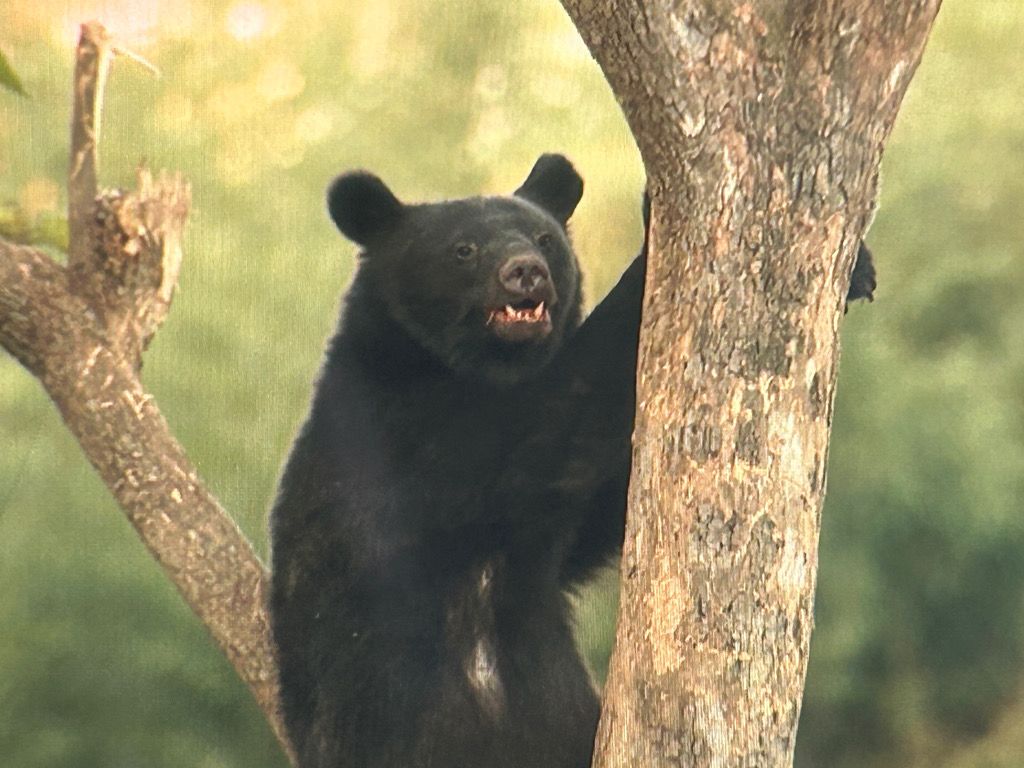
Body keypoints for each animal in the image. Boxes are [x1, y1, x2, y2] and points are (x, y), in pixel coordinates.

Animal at [269, 154, 639, 768]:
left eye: (545, 237)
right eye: (464, 250)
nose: (526, 271)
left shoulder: (547, 554)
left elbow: (595, 514)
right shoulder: (401, 436)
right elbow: (528, 439)